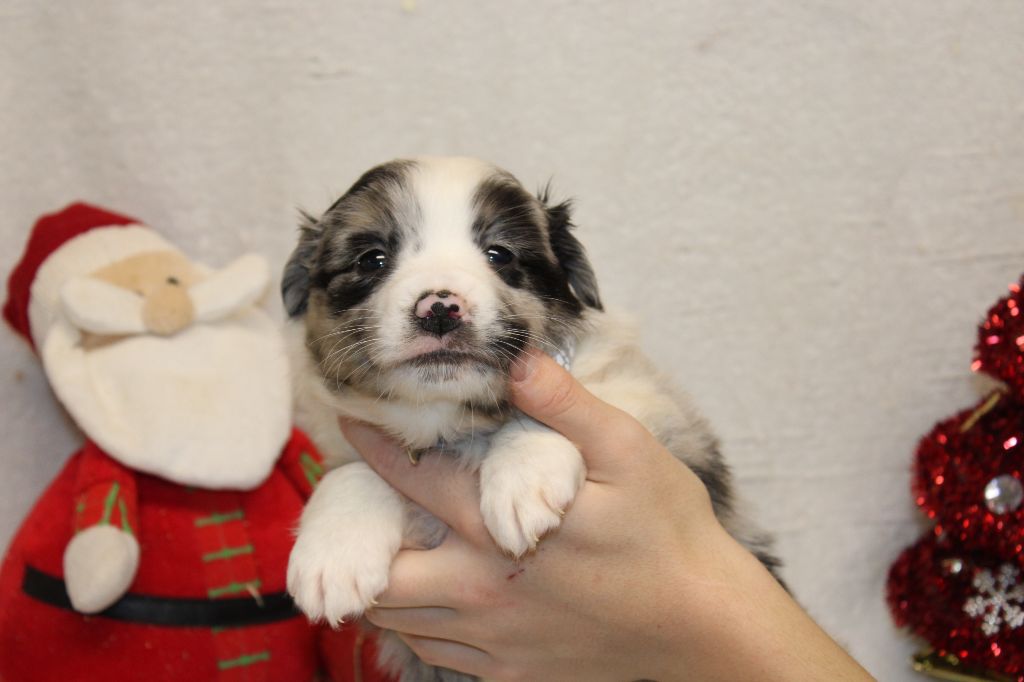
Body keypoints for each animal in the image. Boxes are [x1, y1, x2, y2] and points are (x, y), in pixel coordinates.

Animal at [280, 155, 774, 679]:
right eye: (372, 259)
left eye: (500, 254)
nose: (439, 308)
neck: (452, 424)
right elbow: (353, 469)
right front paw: (333, 552)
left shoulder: (659, 415)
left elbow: (557, 409)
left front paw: (524, 478)